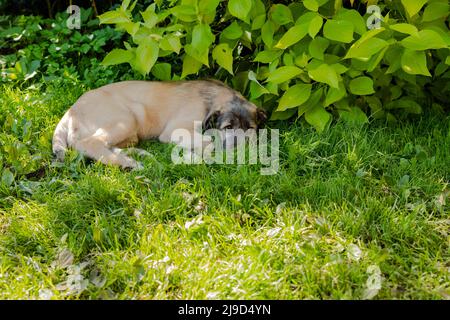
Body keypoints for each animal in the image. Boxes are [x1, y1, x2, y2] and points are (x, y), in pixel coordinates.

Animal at [51, 80, 268, 169]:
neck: (211, 100)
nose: (241, 148)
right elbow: (209, 141)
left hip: (129, 133)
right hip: (125, 118)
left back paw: (133, 157)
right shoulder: (173, 131)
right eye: (228, 127)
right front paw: (197, 155)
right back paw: (129, 164)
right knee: (89, 144)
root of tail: (70, 112)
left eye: (250, 128)